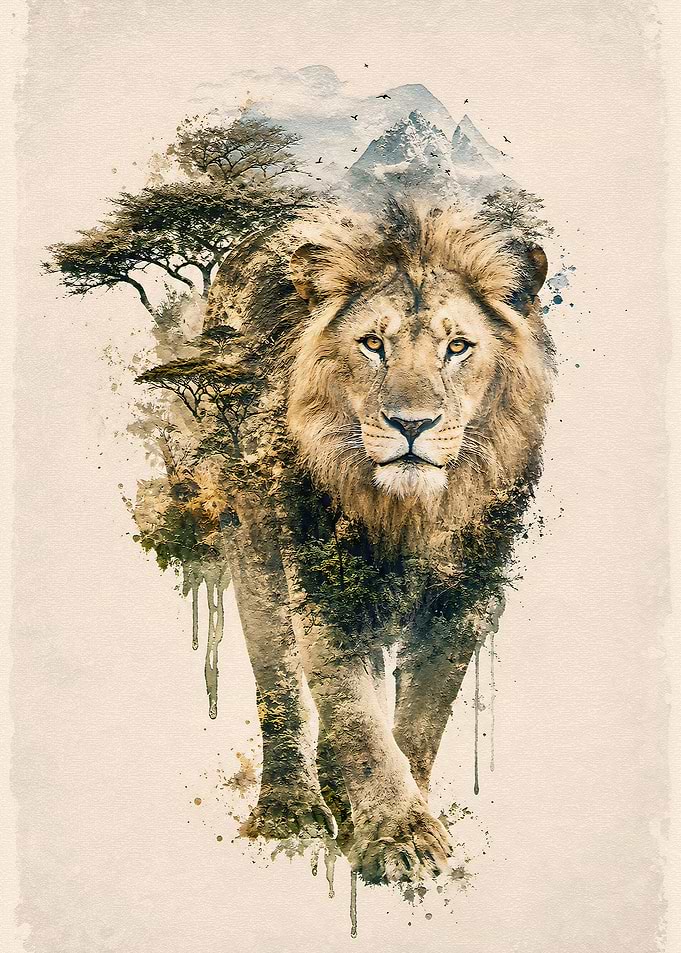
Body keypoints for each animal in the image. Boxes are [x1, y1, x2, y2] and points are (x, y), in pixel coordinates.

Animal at [199, 200, 554, 885]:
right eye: (372, 344)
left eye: (457, 347)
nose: (412, 424)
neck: (408, 516)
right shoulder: (326, 595)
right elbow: (360, 718)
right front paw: (400, 836)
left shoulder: (462, 606)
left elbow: (418, 723)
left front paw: (400, 821)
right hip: (253, 550)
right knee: (278, 687)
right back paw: (290, 810)